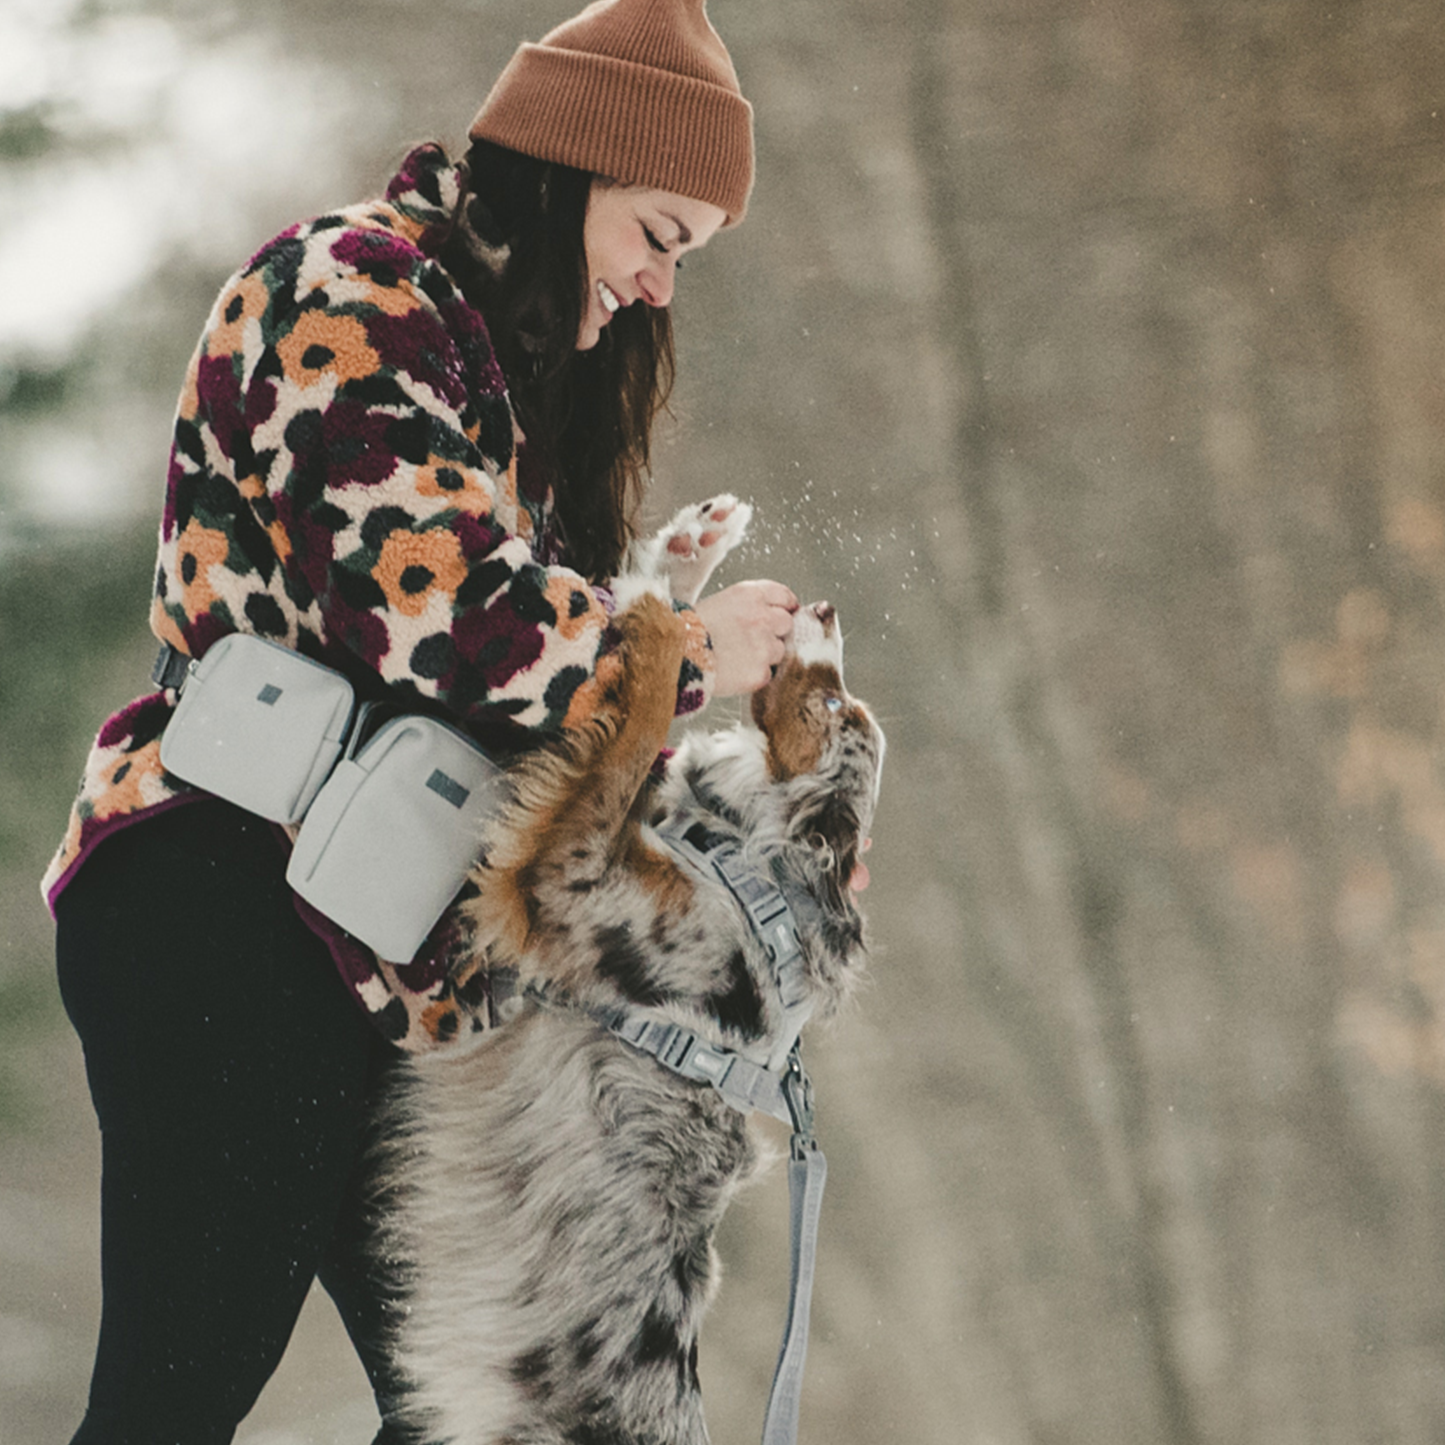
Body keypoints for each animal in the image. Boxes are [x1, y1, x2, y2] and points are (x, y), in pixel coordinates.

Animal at [375, 499, 878, 1445]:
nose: (827, 609)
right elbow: (638, 743)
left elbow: (635, 726)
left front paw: (653, 619)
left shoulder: (571, 881)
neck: (756, 861)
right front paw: (682, 556)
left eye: (829, 702)